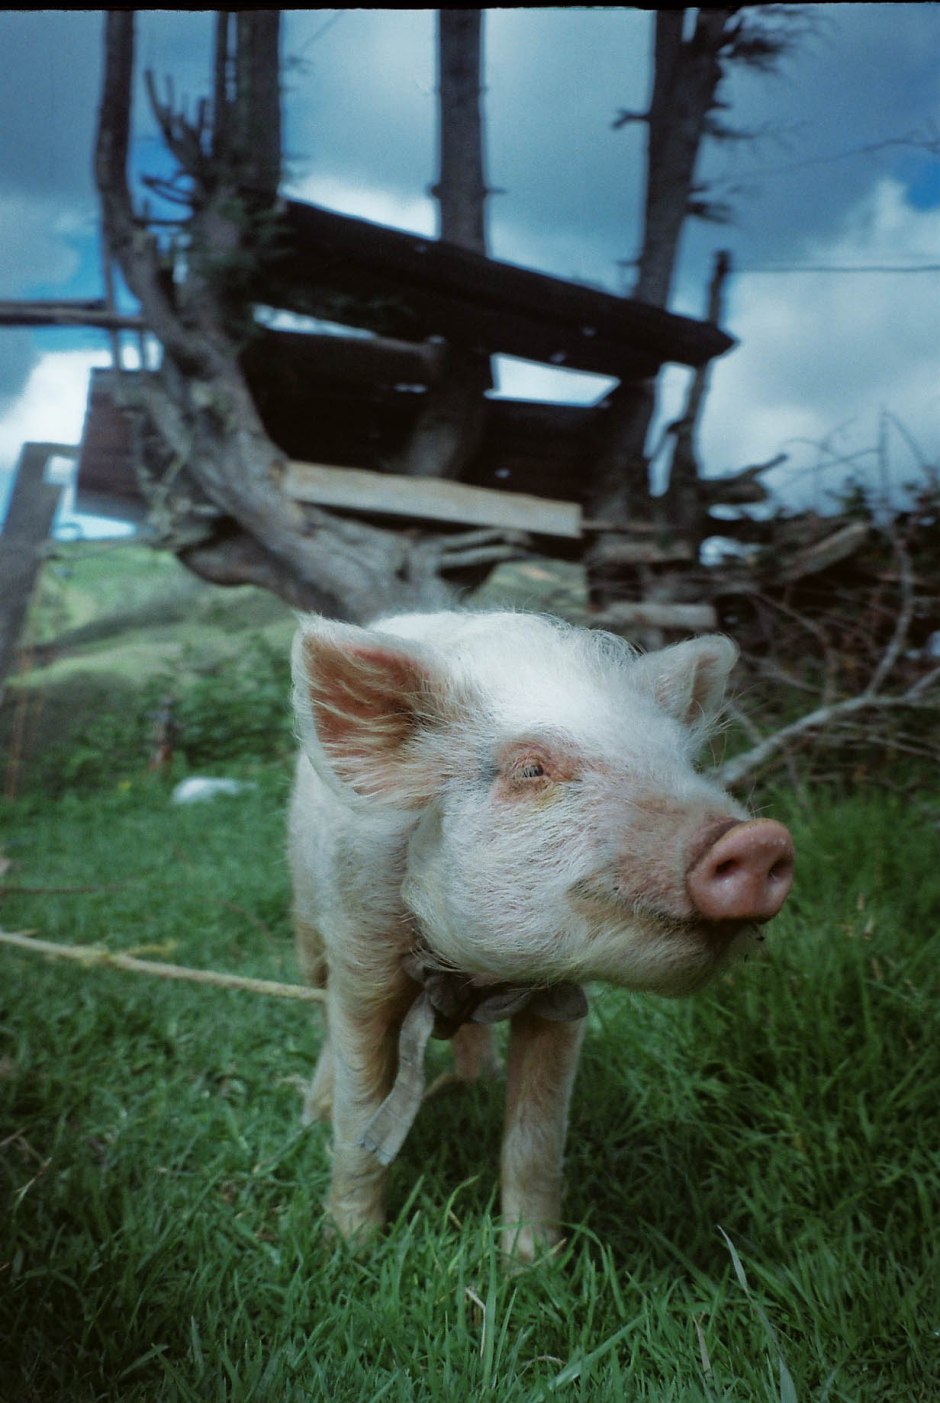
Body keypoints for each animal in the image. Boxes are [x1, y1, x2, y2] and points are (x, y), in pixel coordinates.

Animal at [288, 609, 794, 1262]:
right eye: (530, 769)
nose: (758, 840)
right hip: (307, 923)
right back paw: (313, 1113)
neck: (472, 972)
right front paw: (348, 1248)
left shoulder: (560, 1000)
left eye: (681, 762)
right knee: (320, 1011)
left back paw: (479, 1079)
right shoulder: (362, 956)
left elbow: (536, 1137)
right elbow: (360, 1115)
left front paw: (532, 1266)